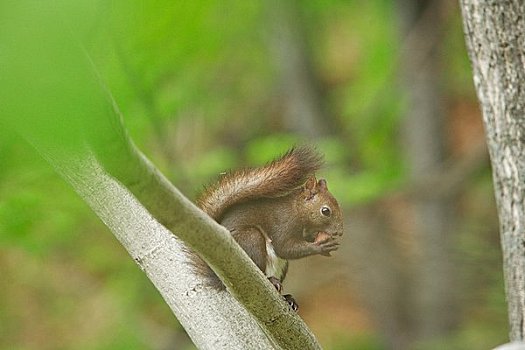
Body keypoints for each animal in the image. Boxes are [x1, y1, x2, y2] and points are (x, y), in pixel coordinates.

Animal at [192, 146, 344, 310]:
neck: (297, 209)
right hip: (251, 239)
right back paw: (271, 280)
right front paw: (321, 247)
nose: (340, 232)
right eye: (325, 211)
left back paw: (288, 298)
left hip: (283, 265)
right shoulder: (283, 223)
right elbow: (284, 248)